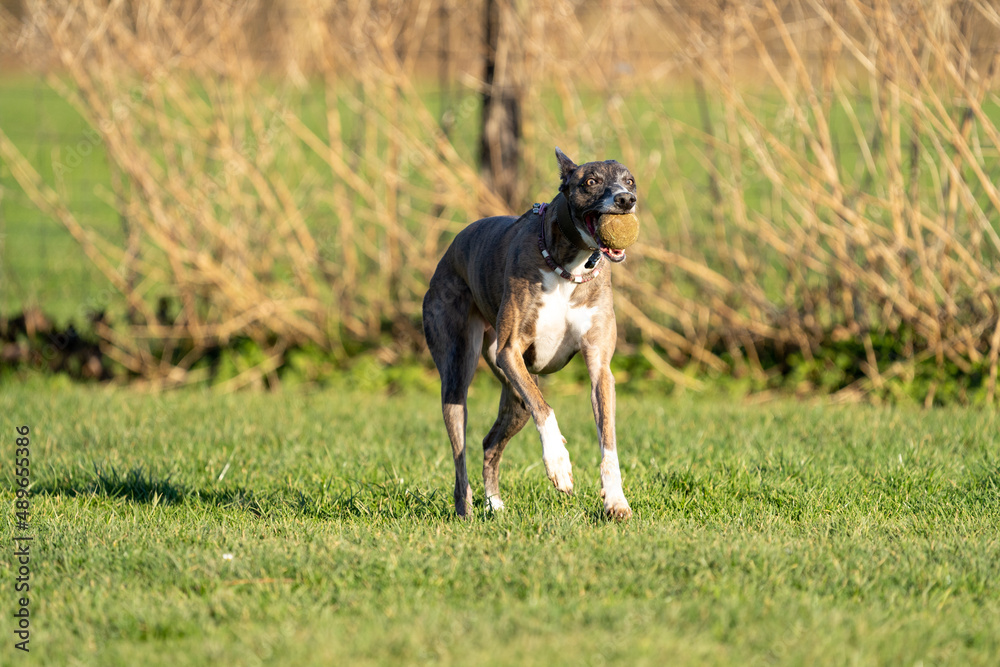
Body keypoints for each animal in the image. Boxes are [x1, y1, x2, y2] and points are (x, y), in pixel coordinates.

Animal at [420, 147, 636, 520]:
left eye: (630, 180)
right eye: (591, 182)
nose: (626, 200)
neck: (568, 268)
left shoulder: (600, 366)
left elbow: (607, 438)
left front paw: (616, 501)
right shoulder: (509, 351)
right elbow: (546, 409)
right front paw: (559, 465)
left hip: (515, 395)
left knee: (490, 443)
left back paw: (494, 504)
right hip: (459, 367)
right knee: (460, 448)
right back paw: (466, 511)